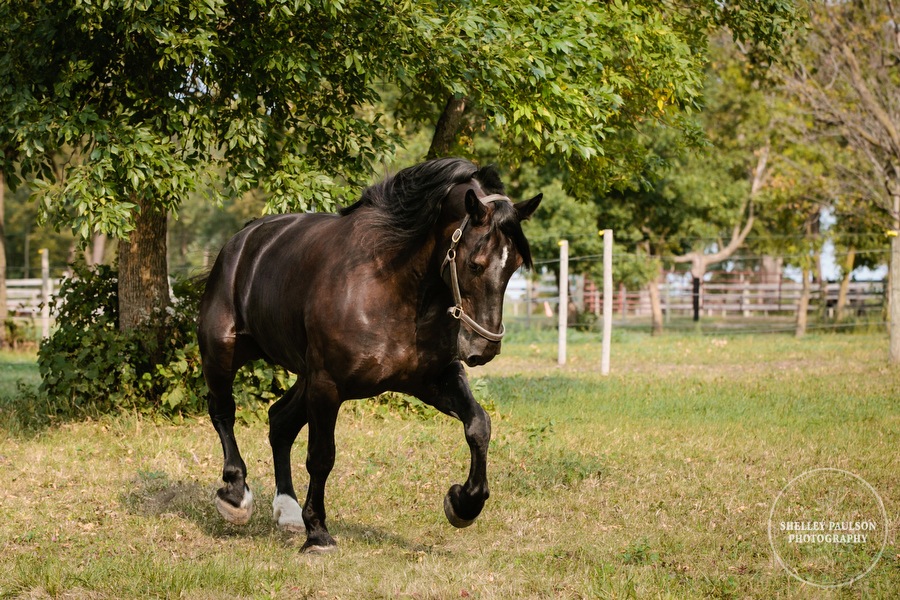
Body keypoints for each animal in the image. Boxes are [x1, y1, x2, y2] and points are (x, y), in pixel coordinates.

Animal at [198, 157, 540, 552]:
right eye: (475, 264)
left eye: (515, 264)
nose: (484, 348)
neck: (392, 285)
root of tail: (239, 243)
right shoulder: (328, 384)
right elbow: (322, 456)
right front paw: (318, 534)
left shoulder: (432, 379)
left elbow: (478, 425)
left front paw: (463, 503)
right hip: (223, 351)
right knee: (223, 411)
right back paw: (236, 496)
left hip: (305, 375)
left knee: (279, 421)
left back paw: (287, 510)